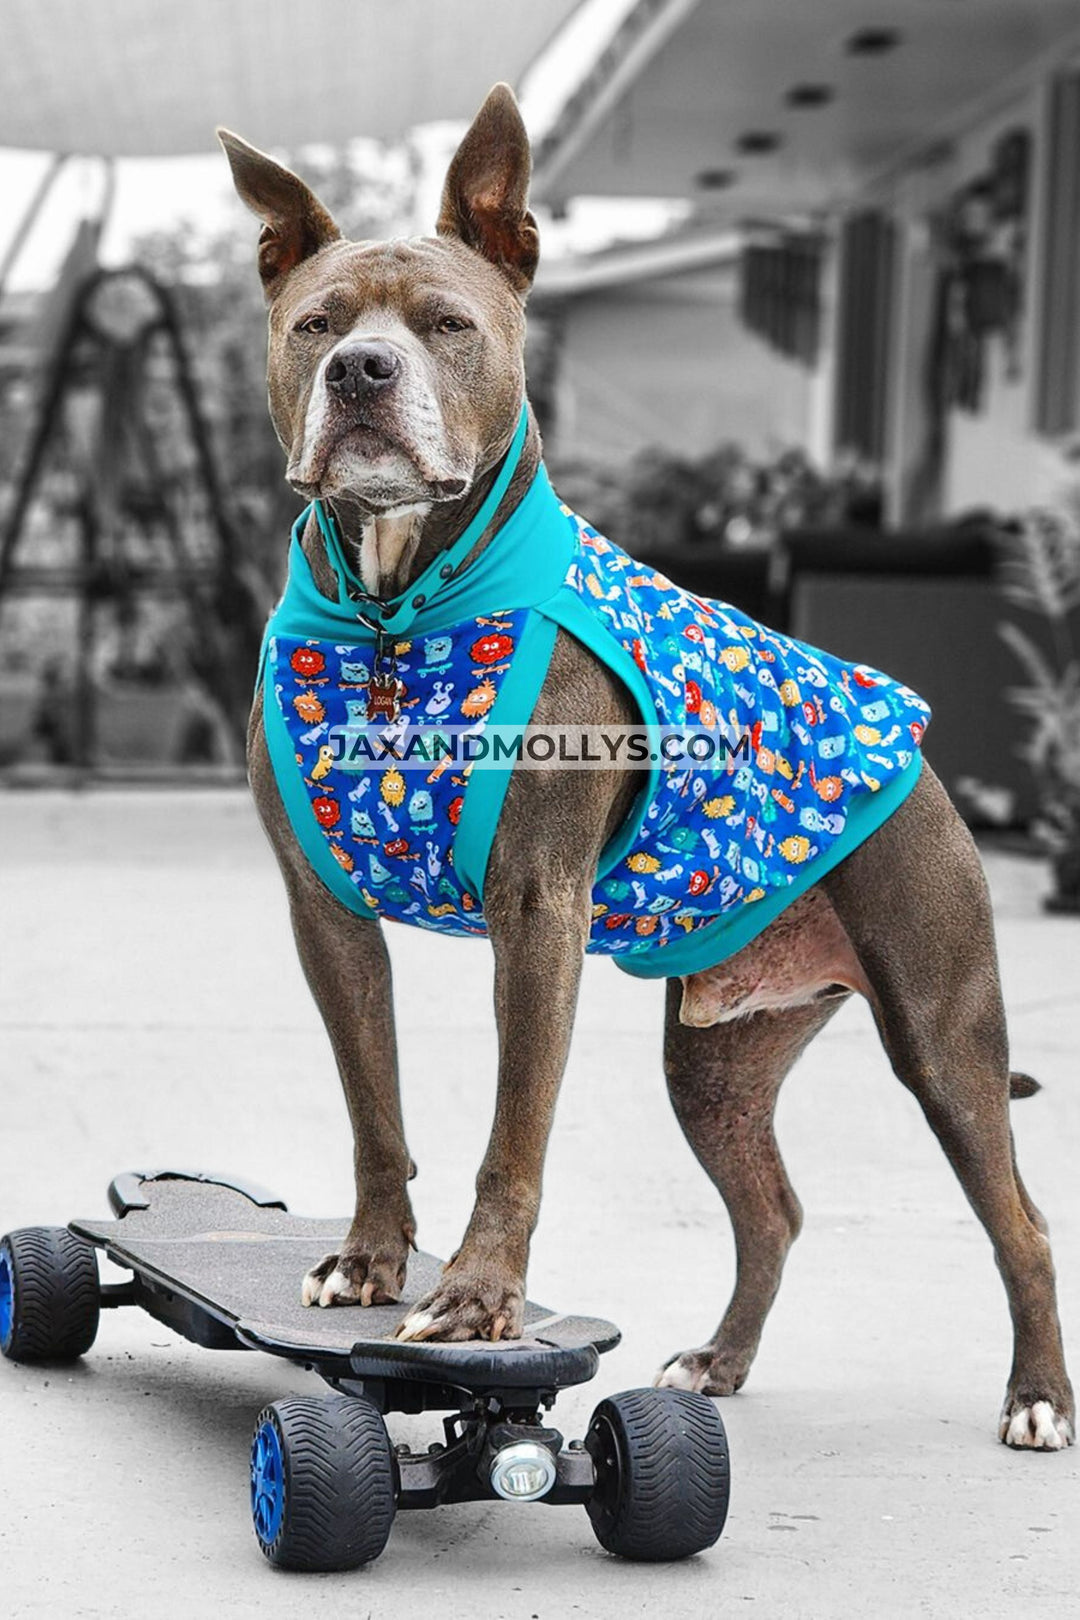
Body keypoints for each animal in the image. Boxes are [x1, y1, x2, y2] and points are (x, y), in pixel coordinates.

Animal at [220, 82, 1075, 1451]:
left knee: (1024, 1223)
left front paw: (478, 1303)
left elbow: (515, 1129)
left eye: (448, 323)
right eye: (316, 325)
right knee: (772, 1209)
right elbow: (372, 1104)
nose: (362, 371)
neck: (400, 598)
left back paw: (1037, 1399)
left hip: (945, 1034)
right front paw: (368, 1262)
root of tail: (927, 764)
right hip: (715, 1063)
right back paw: (718, 1362)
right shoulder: (326, 914)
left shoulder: (538, 911)